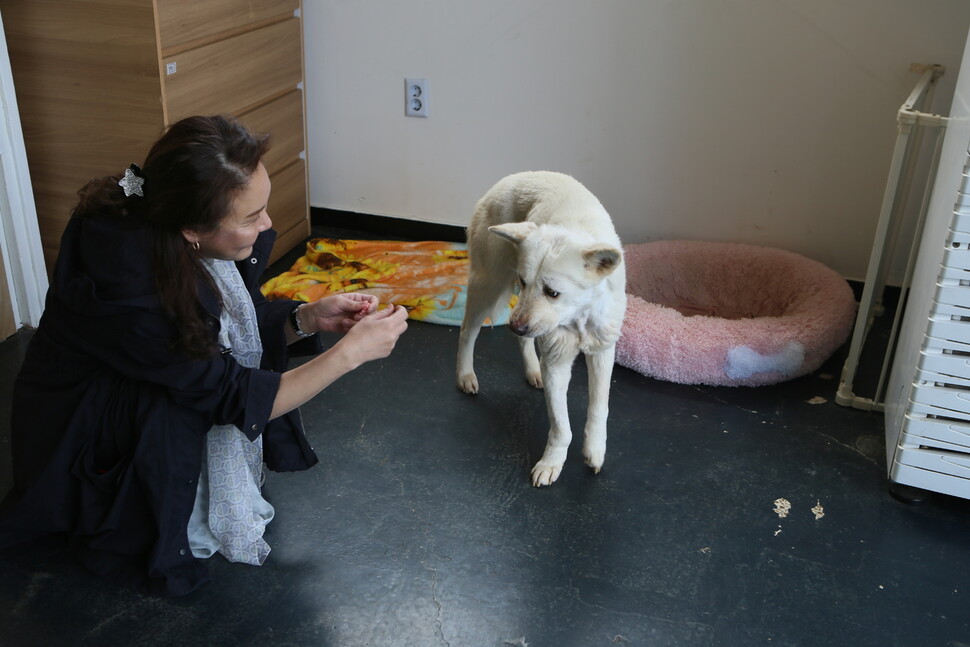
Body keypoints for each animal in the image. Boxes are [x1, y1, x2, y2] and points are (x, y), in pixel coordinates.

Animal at [456, 171, 628, 486]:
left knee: (523, 342)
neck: (578, 316)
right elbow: (561, 426)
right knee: (467, 333)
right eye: (525, 282)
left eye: (552, 292)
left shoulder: (602, 351)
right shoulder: (556, 362)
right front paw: (552, 462)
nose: (515, 326)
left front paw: (594, 450)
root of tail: (505, 180)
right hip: (488, 286)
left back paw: (532, 369)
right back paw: (465, 375)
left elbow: (599, 408)